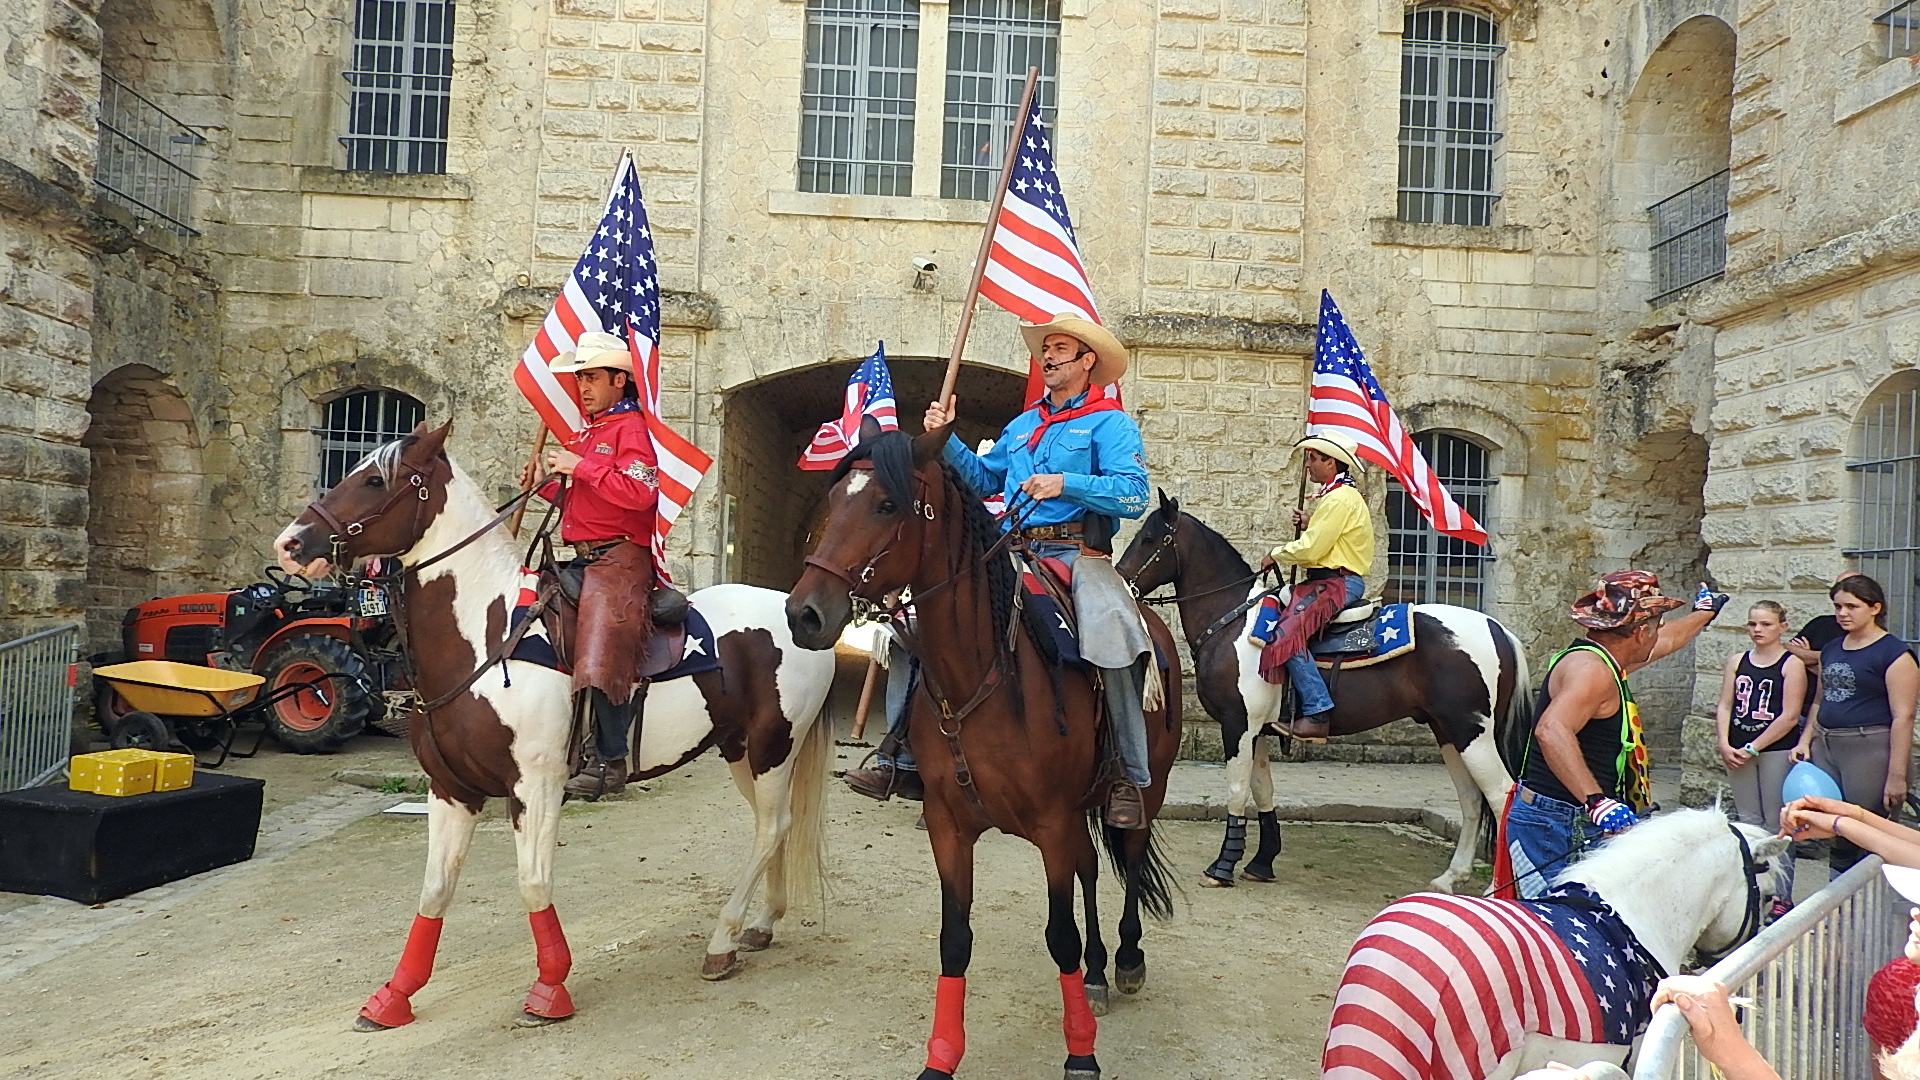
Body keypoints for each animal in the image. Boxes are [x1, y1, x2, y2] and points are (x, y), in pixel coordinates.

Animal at [274, 420, 837, 1022]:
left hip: (772, 746)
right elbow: (435, 889)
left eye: (375, 479)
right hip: (740, 749)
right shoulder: (450, 789)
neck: (488, 637)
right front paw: (394, 995)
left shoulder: (536, 787)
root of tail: (792, 610)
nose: (291, 544)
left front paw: (550, 988)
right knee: (774, 826)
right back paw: (760, 924)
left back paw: (722, 941)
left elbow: (533, 883)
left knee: (771, 828)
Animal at [783, 426, 1182, 1076]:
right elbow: (955, 940)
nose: (804, 613)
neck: (985, 671)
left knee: (1130, 855)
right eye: (836, 497)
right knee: (1094, 869)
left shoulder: (1052, 824)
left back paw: (1125, 960)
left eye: (886, 505)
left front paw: (1081, 1054)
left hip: (1147, 789)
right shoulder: (949, 824)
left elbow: (1060, 937)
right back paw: (1098, 970)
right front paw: (940, 1056)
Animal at [1121, 491, 1520, 887]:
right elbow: (1262, 791)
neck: (1234, 622)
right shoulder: (1258, 730)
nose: (1123, 581)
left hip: (1471, 733)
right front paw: (1261, 862)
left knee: (1501, 797)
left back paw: (1494, 889)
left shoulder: (1238, 725)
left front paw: (1221, 868)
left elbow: (1236, 792)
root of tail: (1497, 629)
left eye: (1149, 539)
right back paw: (1450, 878)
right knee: (1471, 799)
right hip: (1448, 732)